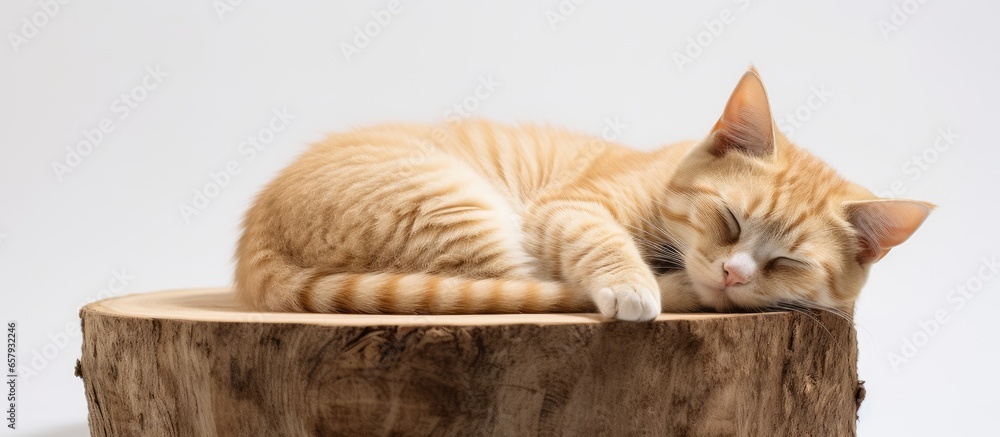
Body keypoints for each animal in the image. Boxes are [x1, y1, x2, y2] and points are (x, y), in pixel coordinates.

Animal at [232, 68, 928, 320]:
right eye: (728, 219)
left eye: (787, 261)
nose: (733, 274)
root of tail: (256, 240)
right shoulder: (566, 209)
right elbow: (600, 243)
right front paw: (636, 284)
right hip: (453, 203)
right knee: (530, 286)